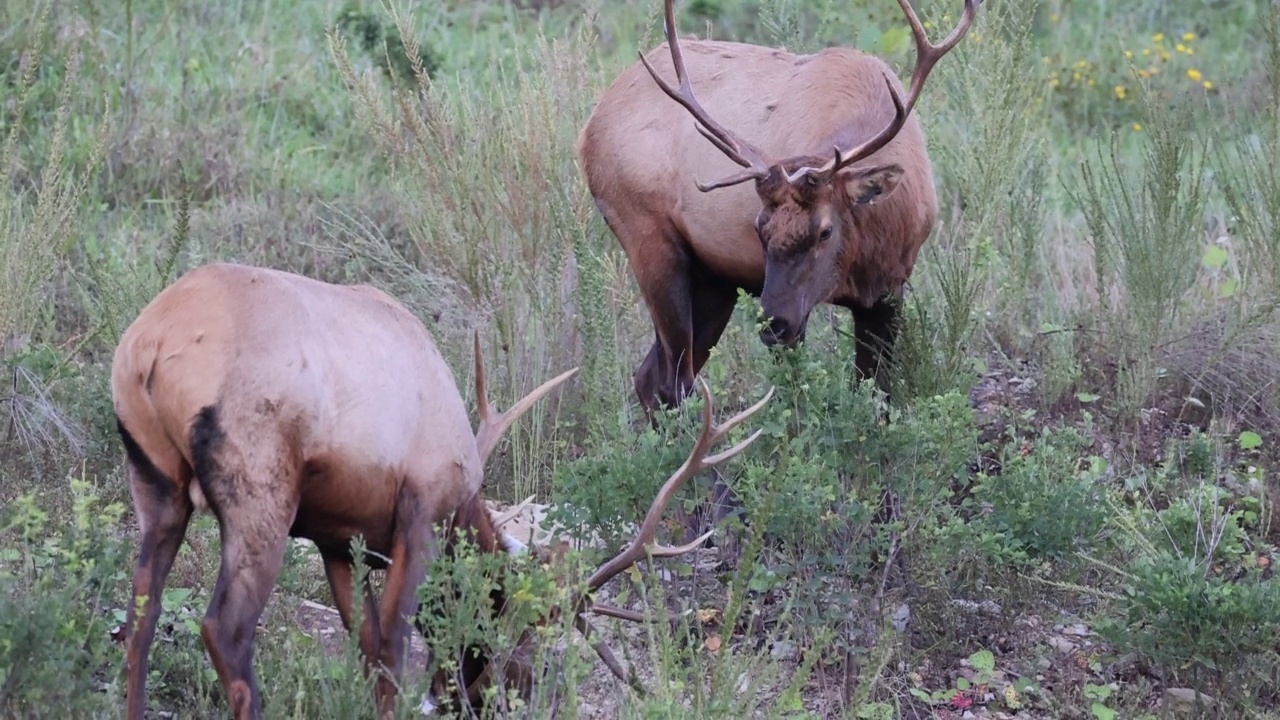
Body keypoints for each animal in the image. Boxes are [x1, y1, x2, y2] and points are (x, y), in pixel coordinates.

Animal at [112, 260, 768, 712]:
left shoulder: (336, 539)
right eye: (516, 627)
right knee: (225, 631)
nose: (494, 694)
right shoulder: (421, 512)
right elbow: (394, 651)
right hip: (260, 488)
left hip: (155, 486)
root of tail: (150, 347)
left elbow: (369, 649)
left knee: (139, 621)